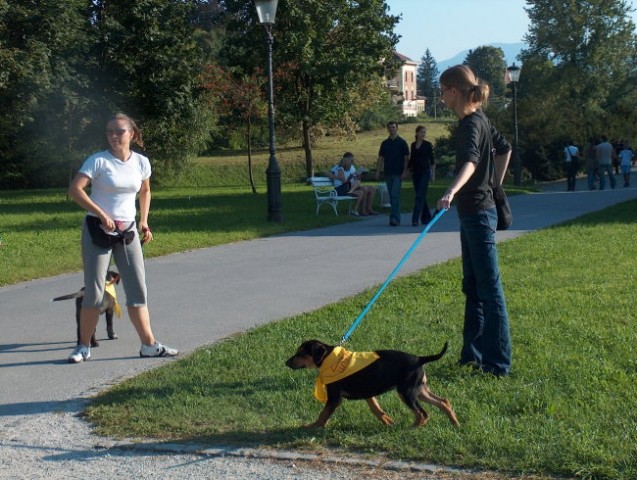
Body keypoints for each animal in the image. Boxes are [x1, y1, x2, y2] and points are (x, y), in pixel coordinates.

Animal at [286, 340, 460, 430]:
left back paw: (411, 428)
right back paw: (455, 423)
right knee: (443, 402)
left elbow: (323, 414)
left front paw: (313, 426)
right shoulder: (368, 393)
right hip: (419, 389)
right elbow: (377, 410)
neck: (329, 358)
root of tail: (419, 359)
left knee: (422, 413)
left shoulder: (334, 398)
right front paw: (388, 422)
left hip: (406, 392)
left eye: (301, 353)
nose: (286, 363)